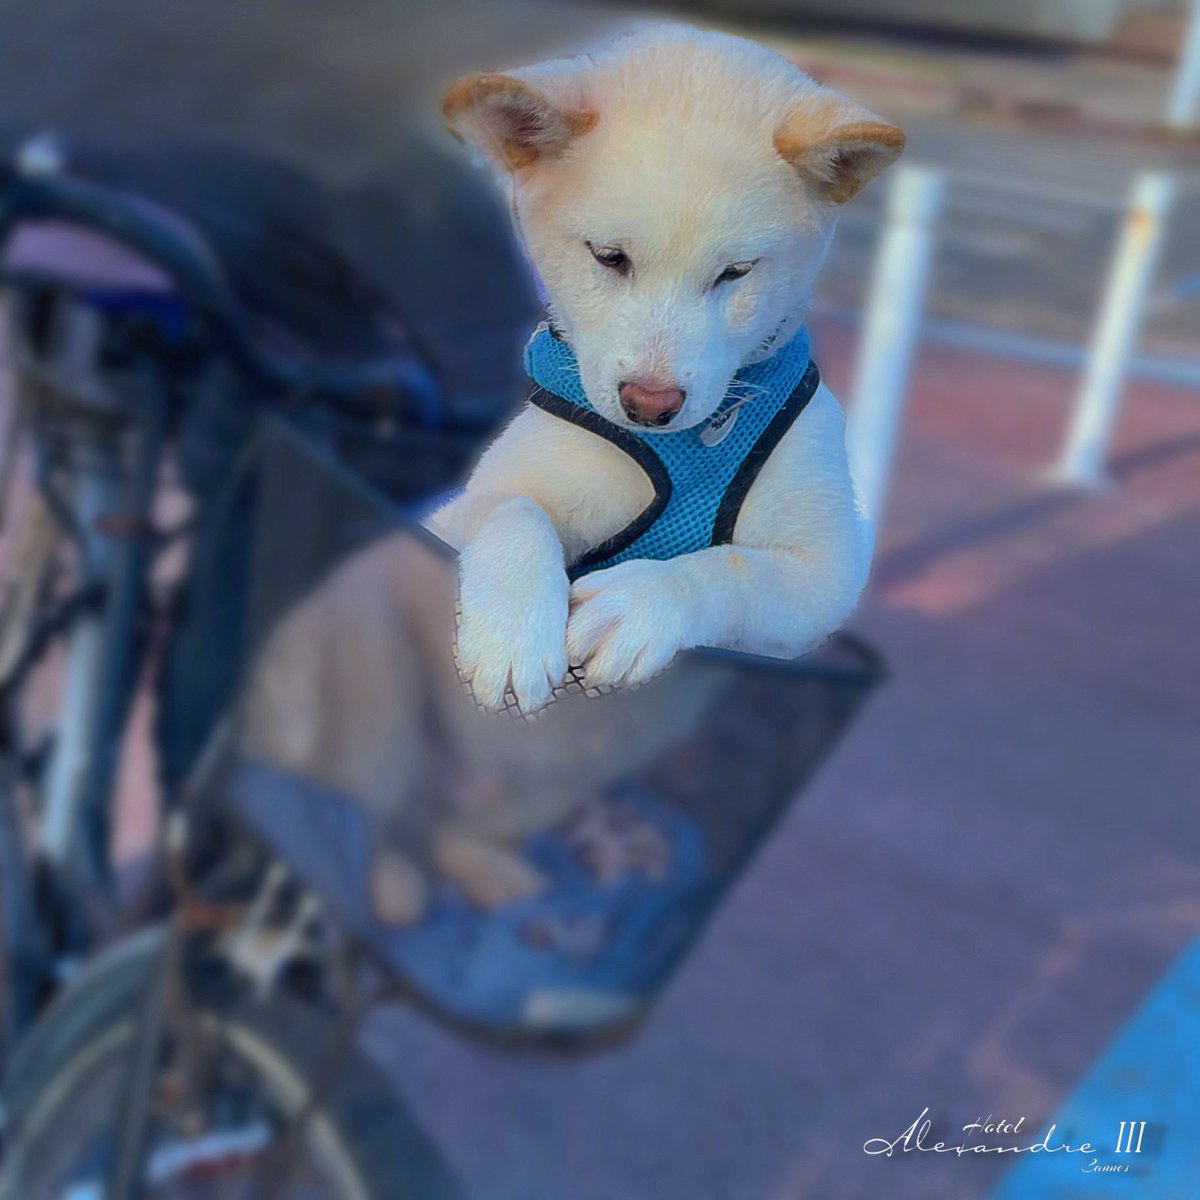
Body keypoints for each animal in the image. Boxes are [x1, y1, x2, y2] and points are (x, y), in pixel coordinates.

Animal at [432, 25, 902, 710]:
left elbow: (733, 570)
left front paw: (642, 603)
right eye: (608, 256)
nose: (649, 405)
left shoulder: (826, 571)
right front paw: (514, 629)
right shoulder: (453, 513)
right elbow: (510, 510)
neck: (683, 449)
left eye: (735, 272)